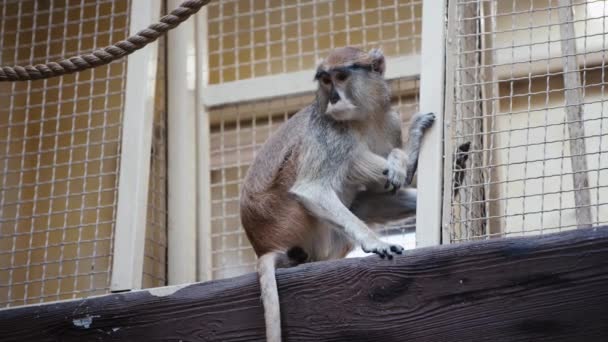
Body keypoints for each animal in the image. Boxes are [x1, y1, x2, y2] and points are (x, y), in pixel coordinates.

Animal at [240, 46, 434, 342]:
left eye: (341, 77)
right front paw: (375, 242)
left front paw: (401, 160)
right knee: (348, 158)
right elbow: (311, 189)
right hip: (291, 219)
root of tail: (264, 244)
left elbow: (383, 190)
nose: (333, 98)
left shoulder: (389, 123)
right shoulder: (330, 130)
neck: (363, 118)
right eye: (325, 81)